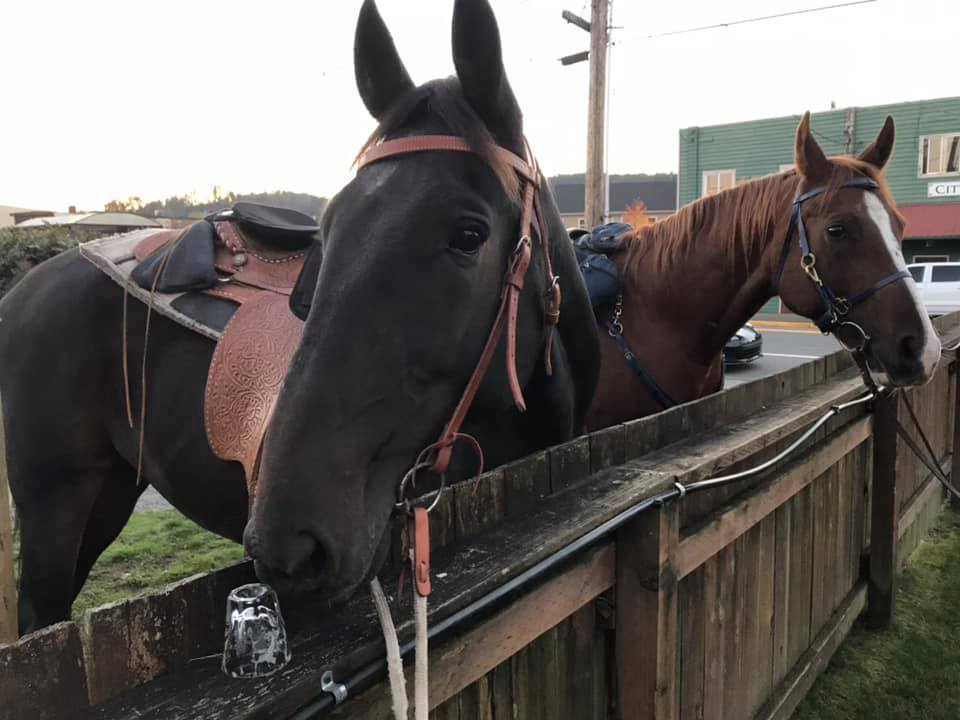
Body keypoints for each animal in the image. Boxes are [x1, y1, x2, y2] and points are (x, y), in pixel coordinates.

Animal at [0, 0, 600, 632]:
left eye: (469, 235)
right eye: (327, 231)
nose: (289, 544)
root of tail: (24, 290)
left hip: (109, 492)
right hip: (57, 507)